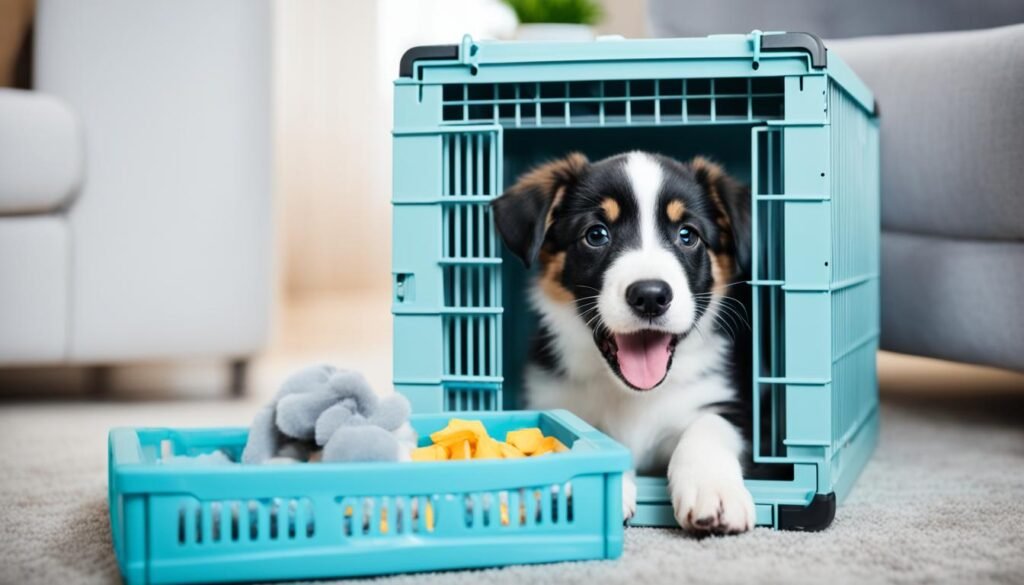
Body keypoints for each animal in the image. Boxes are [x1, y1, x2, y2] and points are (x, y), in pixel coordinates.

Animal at [491, 150, 757, 536]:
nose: (650, 296)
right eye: (596, 234)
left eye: (687, 235)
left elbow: (709, 426)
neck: (633, 395)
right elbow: (569, 430)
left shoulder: (725, 403)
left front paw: (714, 490)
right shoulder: (552, 398)